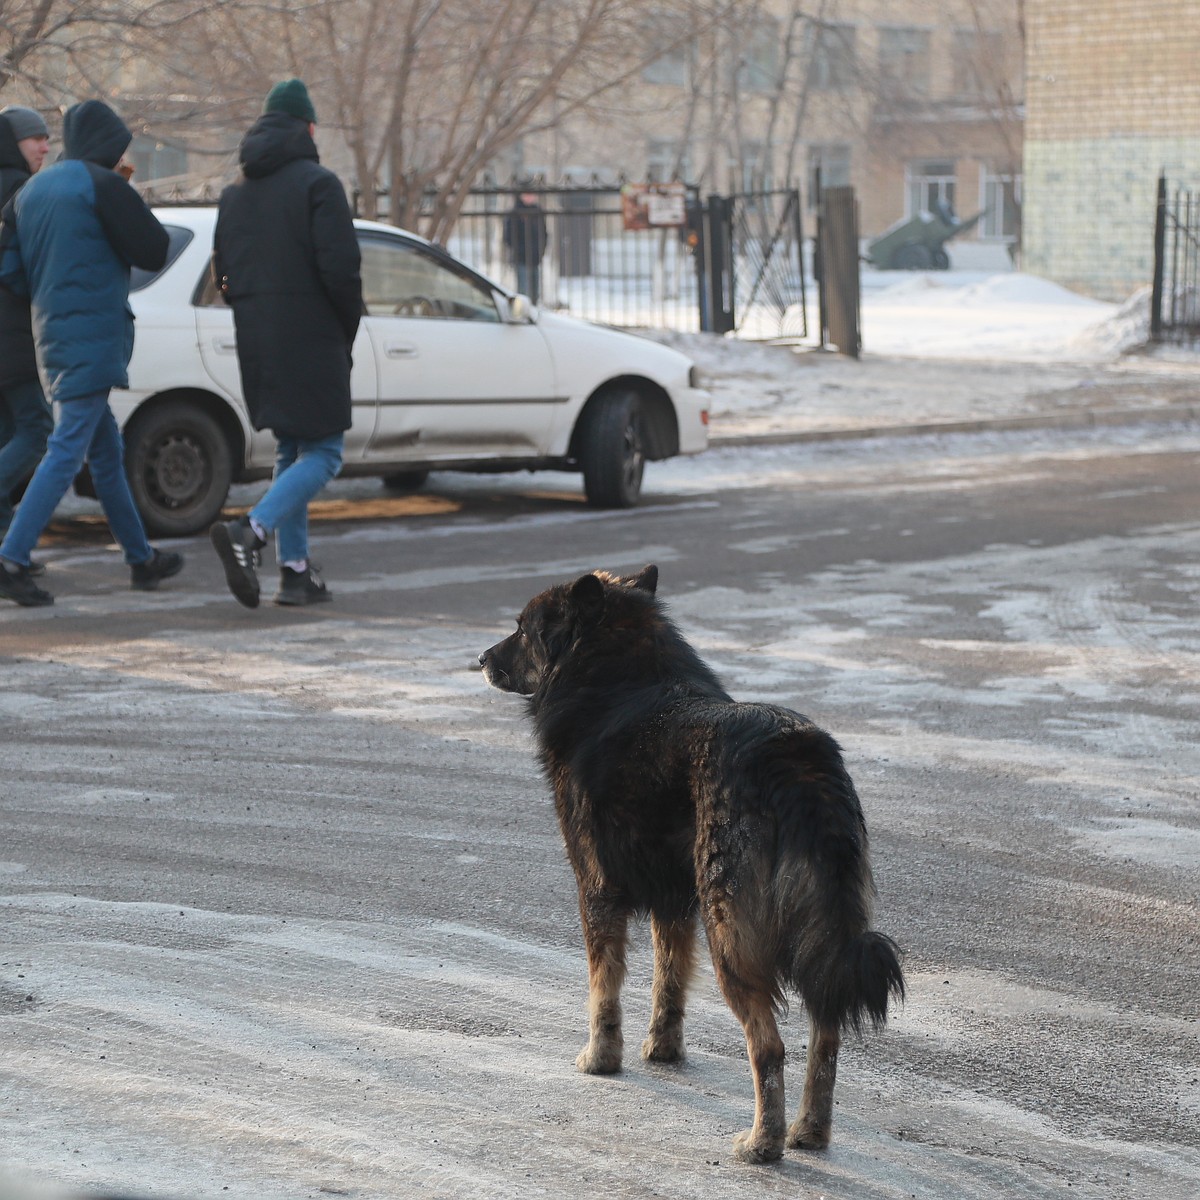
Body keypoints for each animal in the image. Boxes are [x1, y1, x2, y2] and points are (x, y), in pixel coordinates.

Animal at [477, 564, 902, 1161]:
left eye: (523, 628)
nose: (481, 658)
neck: (618, 677)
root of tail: (796, 756)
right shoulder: (674, 902)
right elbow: (670, 979)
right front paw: (663, 1048)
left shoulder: (596, 890)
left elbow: (603, 989)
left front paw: (601, 1059)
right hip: (819, 932)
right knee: (827, 1035)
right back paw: (810, 1132)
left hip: (731, 934)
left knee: (769, 1048)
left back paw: (763, 1142)